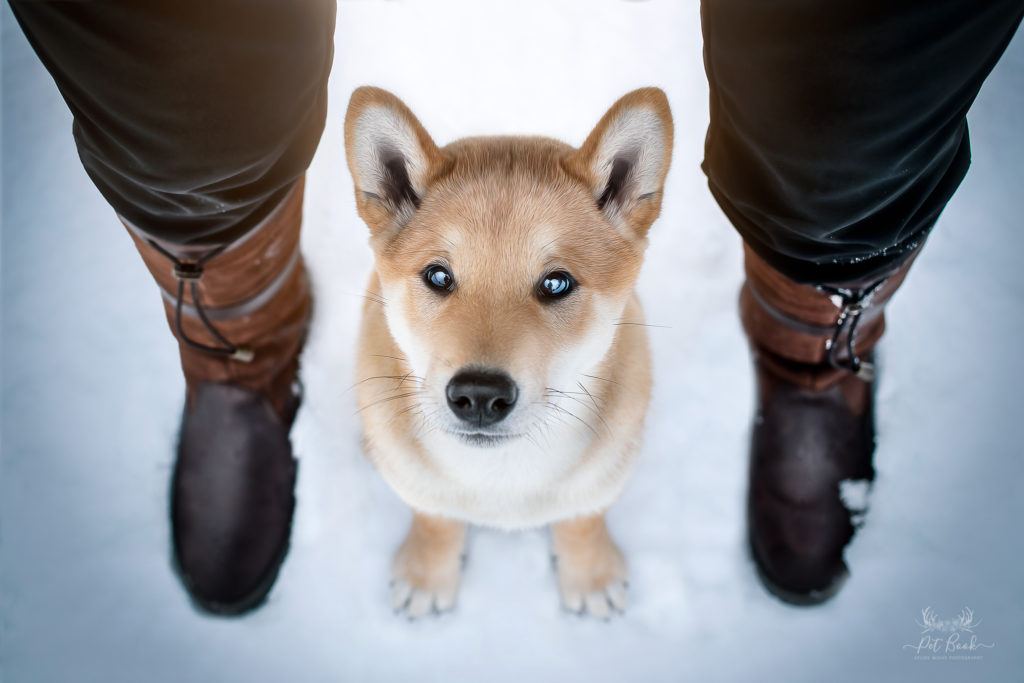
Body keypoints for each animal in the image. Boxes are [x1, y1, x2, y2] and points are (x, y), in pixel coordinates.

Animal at [346, 87, 671, 618]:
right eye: (438, 275)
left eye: (557, 283)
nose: (479, 395)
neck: (501, 477)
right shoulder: (415, 478)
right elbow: (434, 516)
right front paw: (428, 571)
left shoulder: (606, 469)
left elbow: (583, 516)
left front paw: (589, 572)